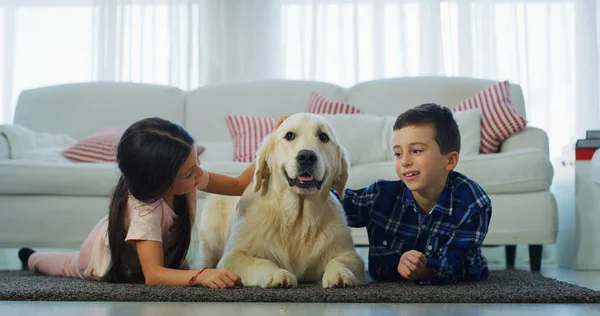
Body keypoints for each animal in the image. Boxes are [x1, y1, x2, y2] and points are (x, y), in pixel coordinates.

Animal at [199, 113, 366, 288]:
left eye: (323, 137)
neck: (297, 220)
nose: (307, 157)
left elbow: (340, 261)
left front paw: (340, 274)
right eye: (289, 135)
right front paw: (277, 274)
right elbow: (261, 262)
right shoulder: (233, 256)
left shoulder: (348, 253)